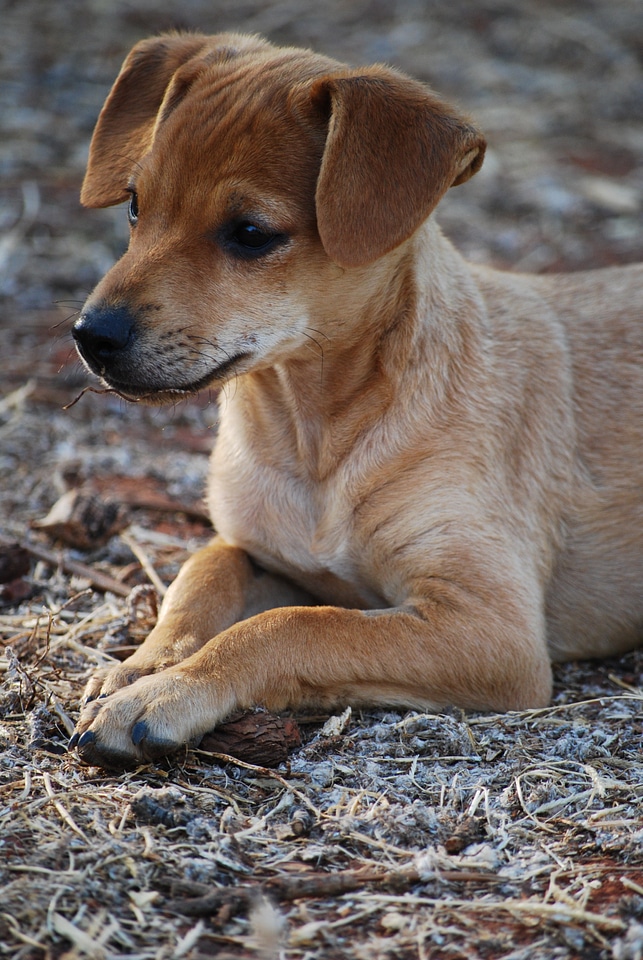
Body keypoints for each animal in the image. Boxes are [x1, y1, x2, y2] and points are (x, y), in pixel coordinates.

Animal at [68, 31, 640, 764]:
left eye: (250, 233)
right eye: (136, 206)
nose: (90, 335)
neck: (313, 438)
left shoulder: (492, 626)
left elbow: (296, 626)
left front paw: (166, 693)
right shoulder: (259, 551)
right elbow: (201, 578)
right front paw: (141, 666)